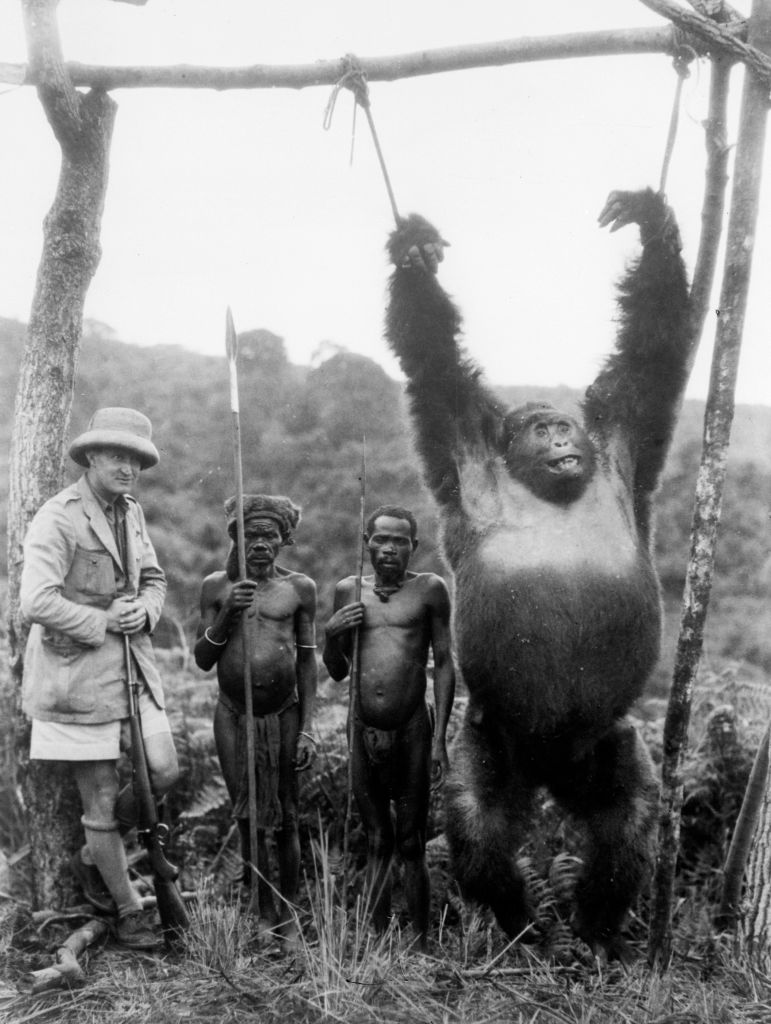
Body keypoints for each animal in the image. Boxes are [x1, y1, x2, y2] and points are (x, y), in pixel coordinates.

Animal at [387, 186, 688, 958]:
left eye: (563, 426)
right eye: (537, 429)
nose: (558, 438)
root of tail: (553, 769)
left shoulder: (622, 437)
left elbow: (653, 351)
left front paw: (650, 220)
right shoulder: (462, 441)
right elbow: (431, 358)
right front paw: (415, 253)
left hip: (604, 744)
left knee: (625, 824)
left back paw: (594, 928)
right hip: (493, 740)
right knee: (479, 828)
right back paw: (523, 925)